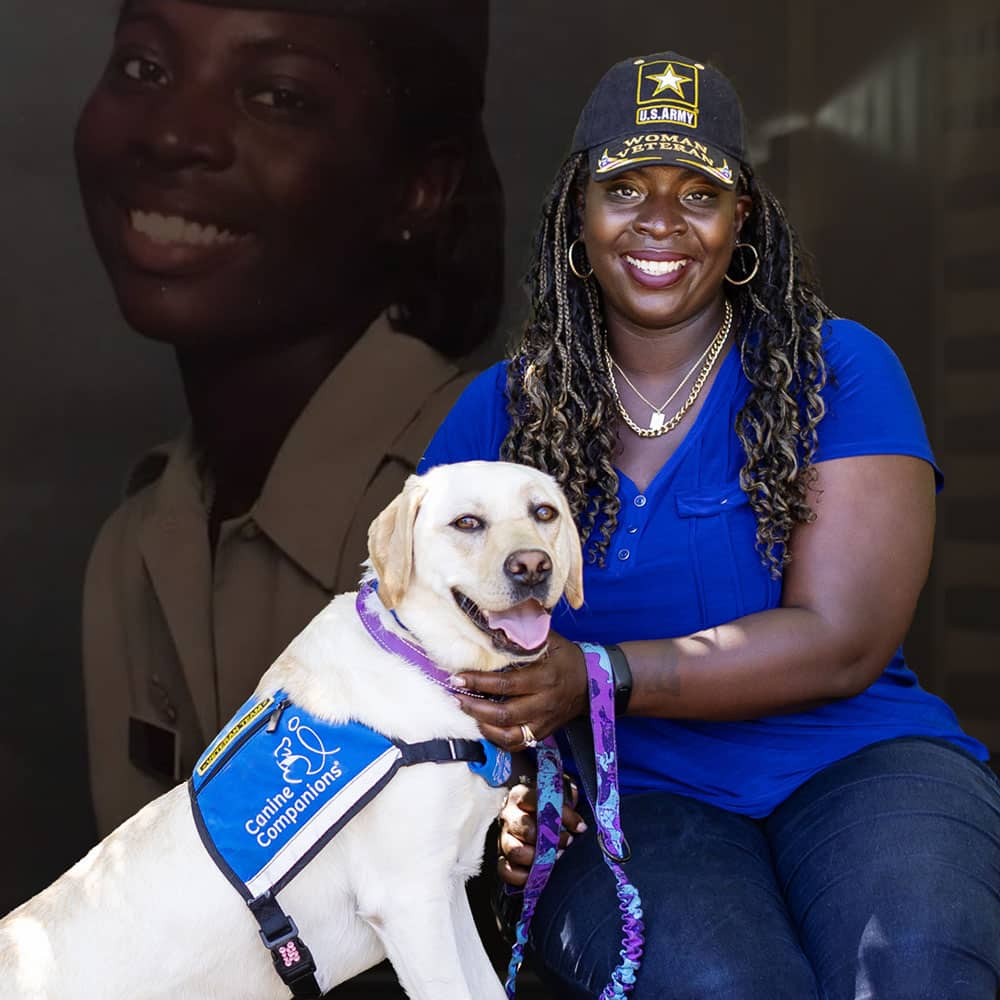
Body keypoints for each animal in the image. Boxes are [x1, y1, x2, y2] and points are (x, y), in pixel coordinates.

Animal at [0, 464, 584, 1000]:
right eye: (467, 522)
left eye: (544, 513)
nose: (532, 566)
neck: (417, 656)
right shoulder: (409, 901)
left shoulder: (446, 888)